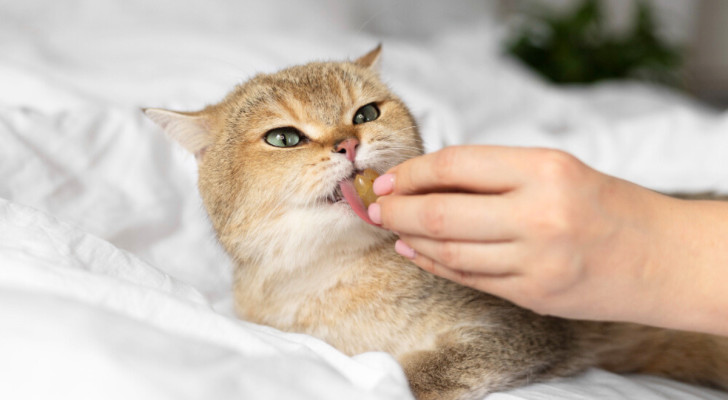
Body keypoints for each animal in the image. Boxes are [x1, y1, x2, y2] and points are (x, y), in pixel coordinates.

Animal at [146, 47, 728, 400]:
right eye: (284, 138)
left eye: (365, 113)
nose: (348, 144)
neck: (330, 280)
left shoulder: (525, 330)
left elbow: (420, 373)